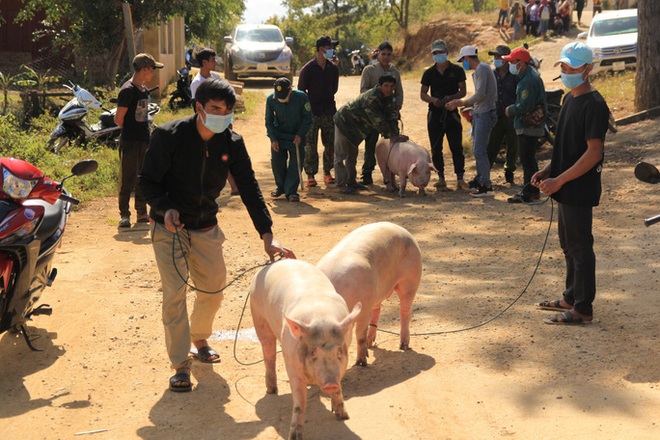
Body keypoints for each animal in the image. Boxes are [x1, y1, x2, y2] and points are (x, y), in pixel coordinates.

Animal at [249, 258, 360, 440]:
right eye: (313, 351)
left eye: (338, 351)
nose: (330, 384)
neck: (321, 316)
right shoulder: (291, 363)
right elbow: (299, 400)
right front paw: (294, 436)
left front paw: (344, 417)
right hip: (258, 318)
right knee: (268, 352)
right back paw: (272, 390)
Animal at [316, 220, 420, 368]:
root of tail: (402, 229)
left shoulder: (363, 308)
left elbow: (359, 335)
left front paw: (361, 363)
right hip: (375, 292)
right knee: (377, 309)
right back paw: (371, 343)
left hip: (411, 278)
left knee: (405, 310)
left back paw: (403, 346)